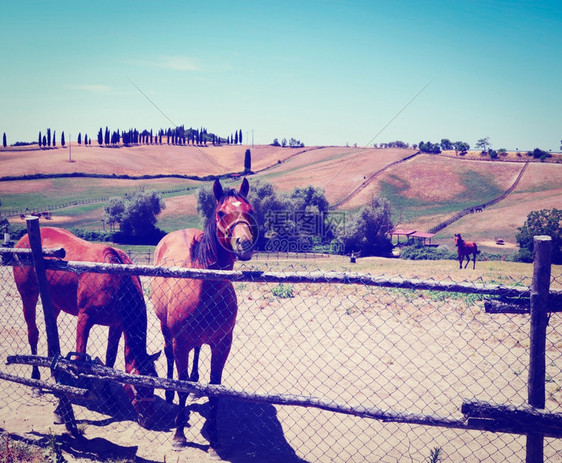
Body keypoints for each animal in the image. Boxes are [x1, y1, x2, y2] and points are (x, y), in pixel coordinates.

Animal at [12, 228, 160, 428]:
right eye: (139, 388)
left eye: (153, 387)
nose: (149, 420)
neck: (116, 278)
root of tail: (23, 240)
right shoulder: (84, 320)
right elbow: (79, 360)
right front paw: (61, 410)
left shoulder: (116, 326)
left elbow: (110, 359)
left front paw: (109, 397)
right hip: (28, 295)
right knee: (33, 334)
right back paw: (36, 380)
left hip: (53, 303)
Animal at [149, 178, 254, 454]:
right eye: (221, 213)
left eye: (249, 210)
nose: (244, 244)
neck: (203, 286)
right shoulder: (181, 343)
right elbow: (182, 384)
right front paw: (179, 436)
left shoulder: (222, 344)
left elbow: (215, 388)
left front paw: (214, 438)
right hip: (167, 331)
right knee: (169, 356)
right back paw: (169, 393)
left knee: (196, 355)